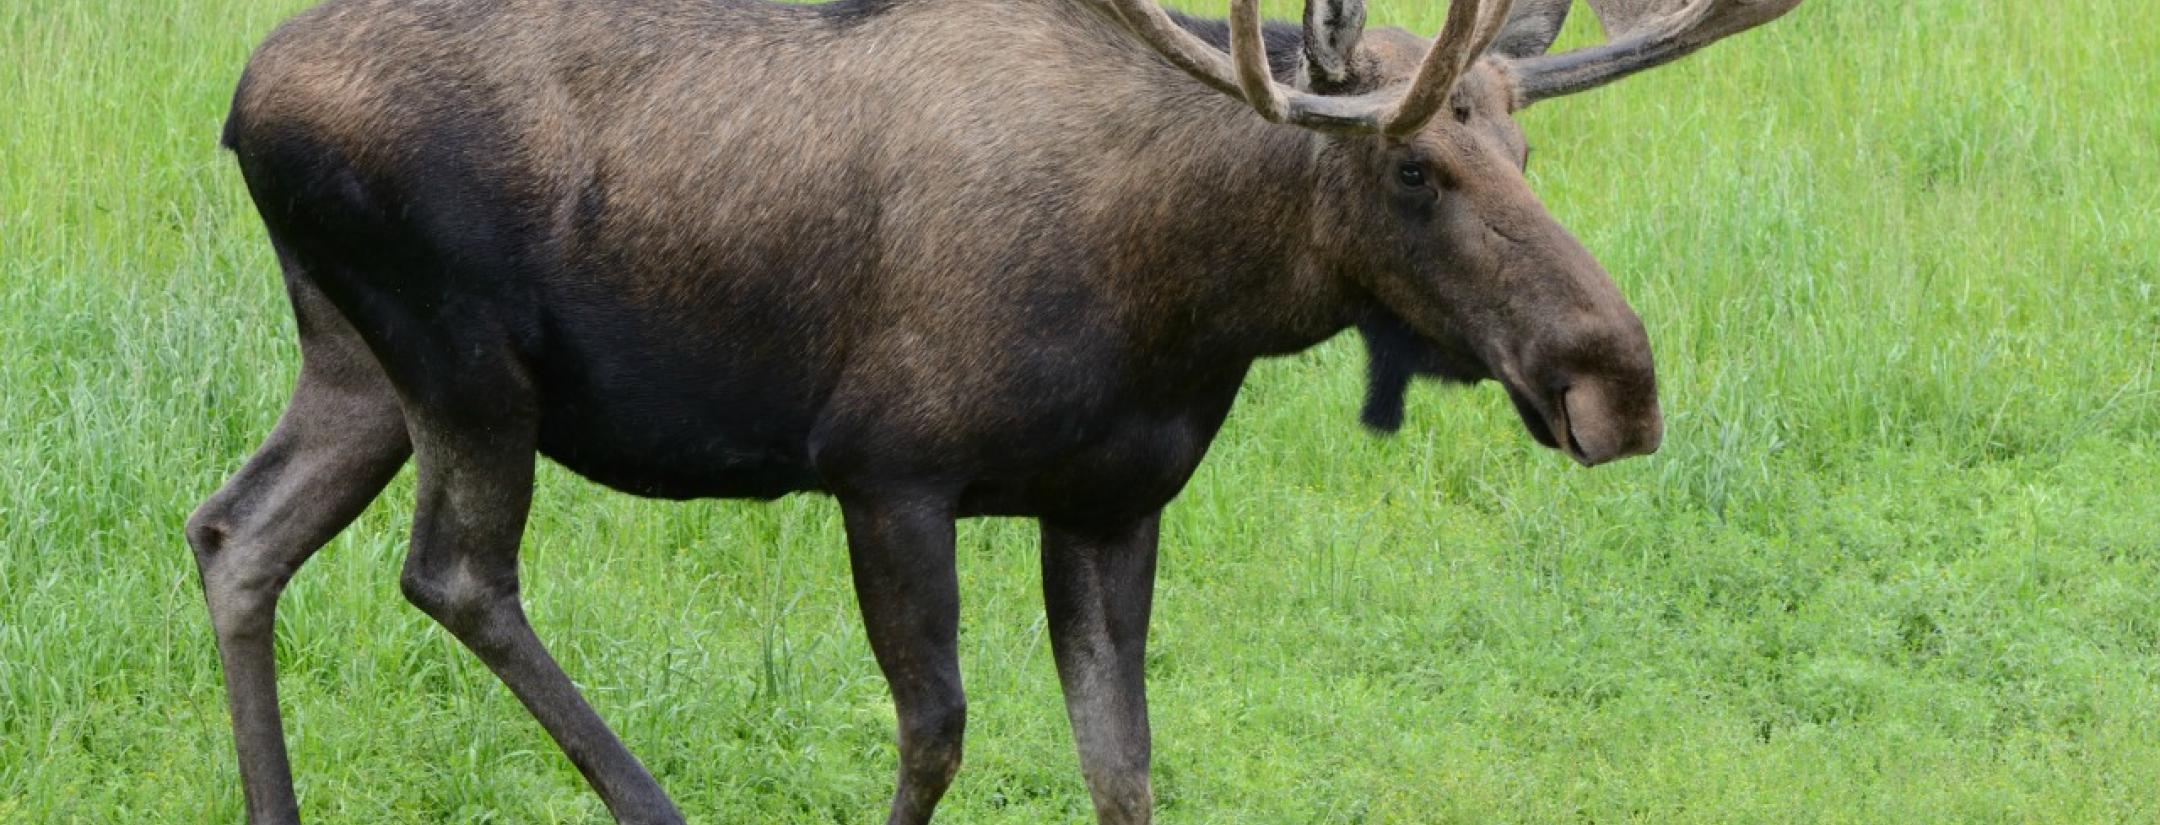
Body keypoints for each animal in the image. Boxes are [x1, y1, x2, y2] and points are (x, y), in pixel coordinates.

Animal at [189, 0, 1806, 821]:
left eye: (1526, 143)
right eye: (1415, 168)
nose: (1616, 381)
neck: (1182, 303)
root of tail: (239, 101)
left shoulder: (1113, 498)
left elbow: (1123, 757)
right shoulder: (888, 469)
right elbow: (940, 733)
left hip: (354, 364)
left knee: (235, 531)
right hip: (463, 358)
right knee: (453, 570)